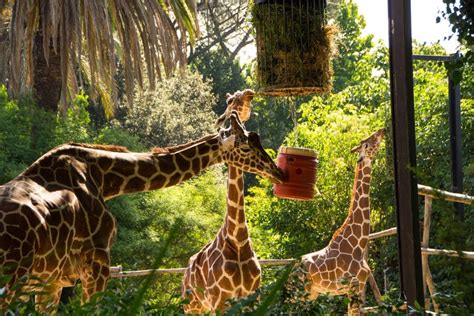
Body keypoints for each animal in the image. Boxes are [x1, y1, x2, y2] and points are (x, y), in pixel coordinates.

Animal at [0, 112, 284, 310]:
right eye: (245, 146)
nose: (278, 172)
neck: (102, 176)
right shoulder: (97, 264)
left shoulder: (52, 280)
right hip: (12, 278)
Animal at [300, 128, 386, 314]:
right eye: (370, 141)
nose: (383, 130)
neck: (358, 243)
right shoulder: (354, 285)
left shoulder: (356, 287)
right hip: (300, 292)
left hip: (312, 294)